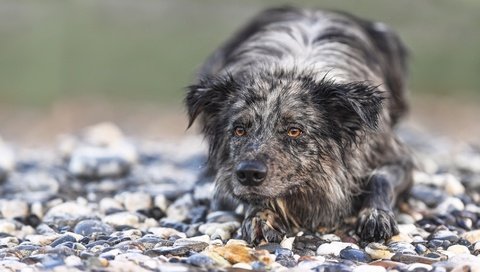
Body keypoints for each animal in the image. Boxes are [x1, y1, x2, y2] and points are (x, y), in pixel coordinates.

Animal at [186, 6, 414, 244]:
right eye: (239, 130)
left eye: (294, 131)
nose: (249, 173)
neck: (294, 68)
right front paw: (260, 216)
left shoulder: (397, 157)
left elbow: (380, 177)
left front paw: (376, 215)